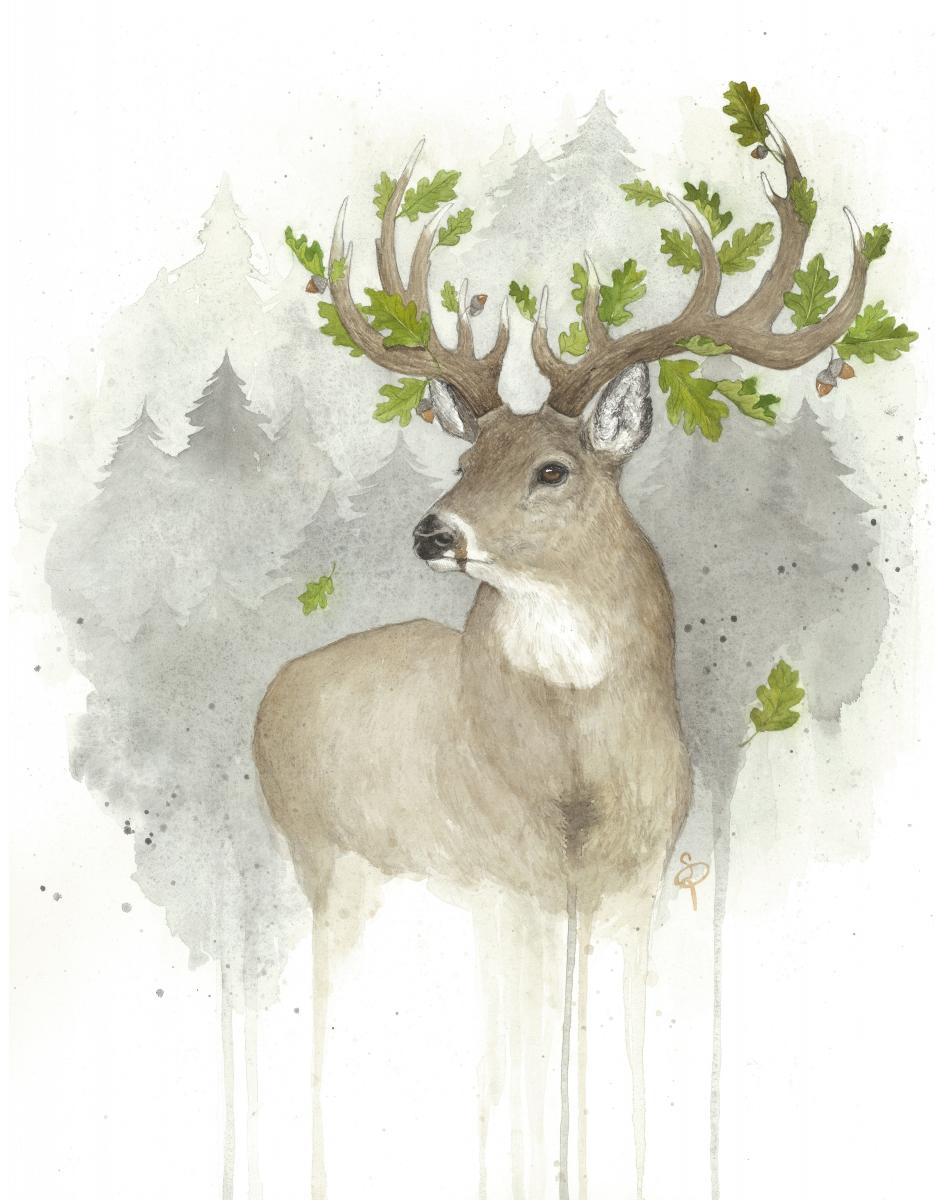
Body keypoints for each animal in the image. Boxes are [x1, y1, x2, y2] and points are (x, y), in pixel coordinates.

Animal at [253, 119, 873, 1200]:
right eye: (465, 462)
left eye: (552, 469)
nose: (432, 531)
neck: (579, 780)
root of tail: (268, 696)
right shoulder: (513, 882)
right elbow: (534, 1078)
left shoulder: (629, 885)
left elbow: (610, 1070)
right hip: (331, 860)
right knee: (341, 1027)